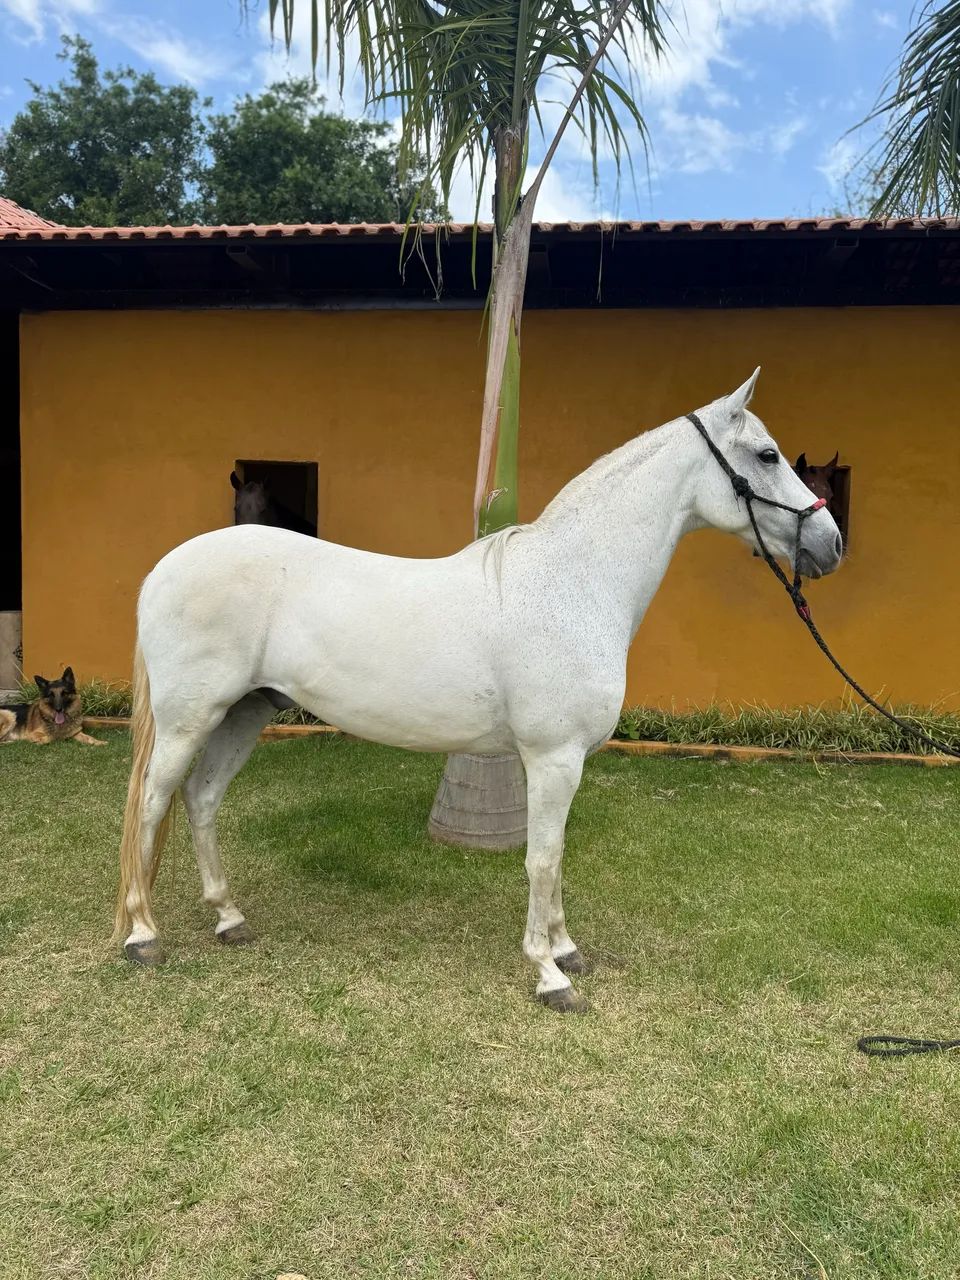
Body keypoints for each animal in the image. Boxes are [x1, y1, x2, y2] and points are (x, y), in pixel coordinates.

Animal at [116, 371, 842, 1012]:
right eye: (767, 454)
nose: (831, 543)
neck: (572, 582)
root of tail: (163, 568)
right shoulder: (552, 758)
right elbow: (542, 859)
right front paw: (551, 975)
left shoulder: (560, 763)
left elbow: (555, 856)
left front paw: (567, 948)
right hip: (189, 719)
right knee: (152, 803)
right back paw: (143, 935)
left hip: (244, 712)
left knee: (201, 799)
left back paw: (229, 918)